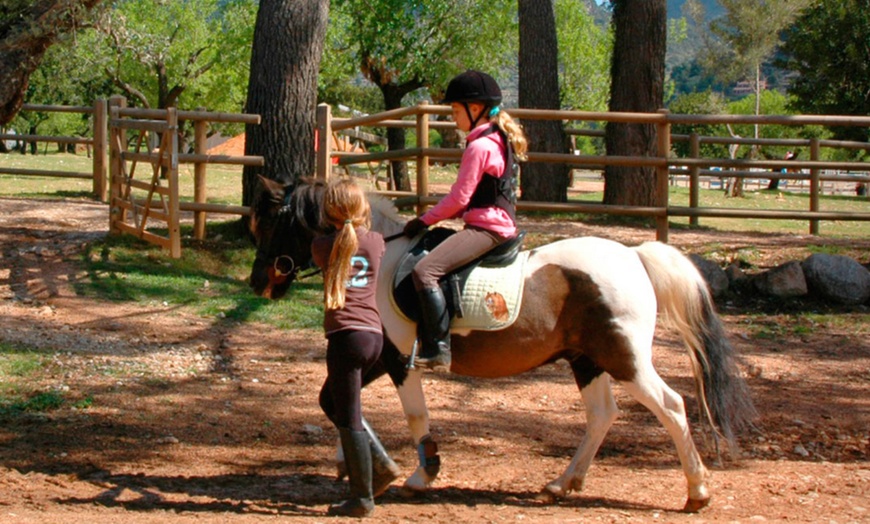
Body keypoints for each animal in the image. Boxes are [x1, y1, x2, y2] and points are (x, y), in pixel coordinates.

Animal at [248, 176, 756, 512]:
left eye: (271, 224)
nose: (259, 283)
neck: (375, 258)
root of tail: (634, 255)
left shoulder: (399, 361)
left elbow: (413, 416)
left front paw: (419, 472)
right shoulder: (377, 356)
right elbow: (334, 402)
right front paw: (361, 465)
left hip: (624, 358)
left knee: (671, 406)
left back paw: (697, 492)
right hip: (587, 360)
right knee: (602, 415)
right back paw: (561, 483)